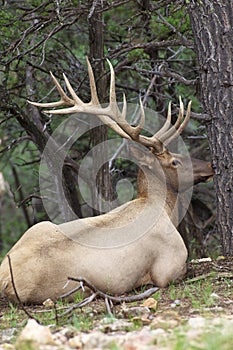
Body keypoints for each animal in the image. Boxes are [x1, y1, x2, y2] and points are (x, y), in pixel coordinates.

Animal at [0, 58, 213, 302]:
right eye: (174, 161)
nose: (210, 165)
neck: (165, 209)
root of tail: (4, 279)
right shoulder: (170, 265)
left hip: (39, 226)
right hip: (74, 288)